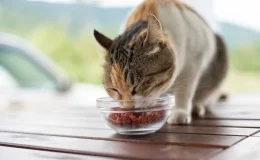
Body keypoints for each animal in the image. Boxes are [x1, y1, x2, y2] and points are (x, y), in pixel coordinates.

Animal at [93, 0, 228, 124]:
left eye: (137, 86)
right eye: (114, 89)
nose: (129, 108)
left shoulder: (194, 60)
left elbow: (185, 89)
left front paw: (180, 111)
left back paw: (197, 106)